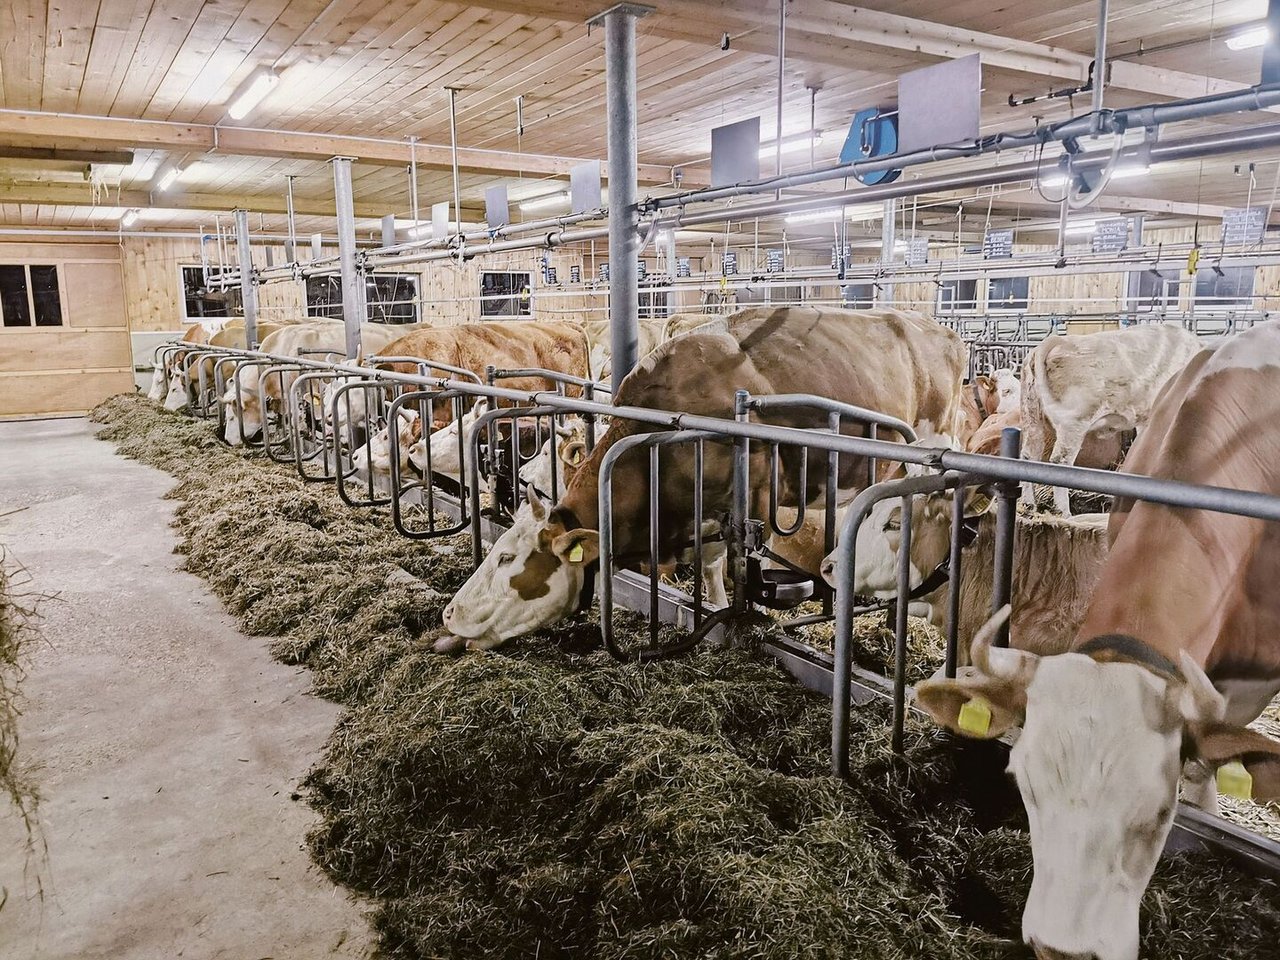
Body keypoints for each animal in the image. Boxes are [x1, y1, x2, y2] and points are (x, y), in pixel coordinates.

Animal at [435, 308, 962, 655]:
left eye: (507, 557)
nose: (449, 613)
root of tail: (938, 328)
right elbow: (708, 569)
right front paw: (712, 608)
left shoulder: (748, 499)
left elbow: (732, 563)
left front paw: (734, 617)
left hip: (930, 447)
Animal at [1018, 323, 1198, 514]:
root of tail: (1055, 341)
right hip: (1073, 422)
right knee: (1060, 461)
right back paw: (1064, 512)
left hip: (1032, 418)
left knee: (1028, 456)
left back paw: (1029, 505)